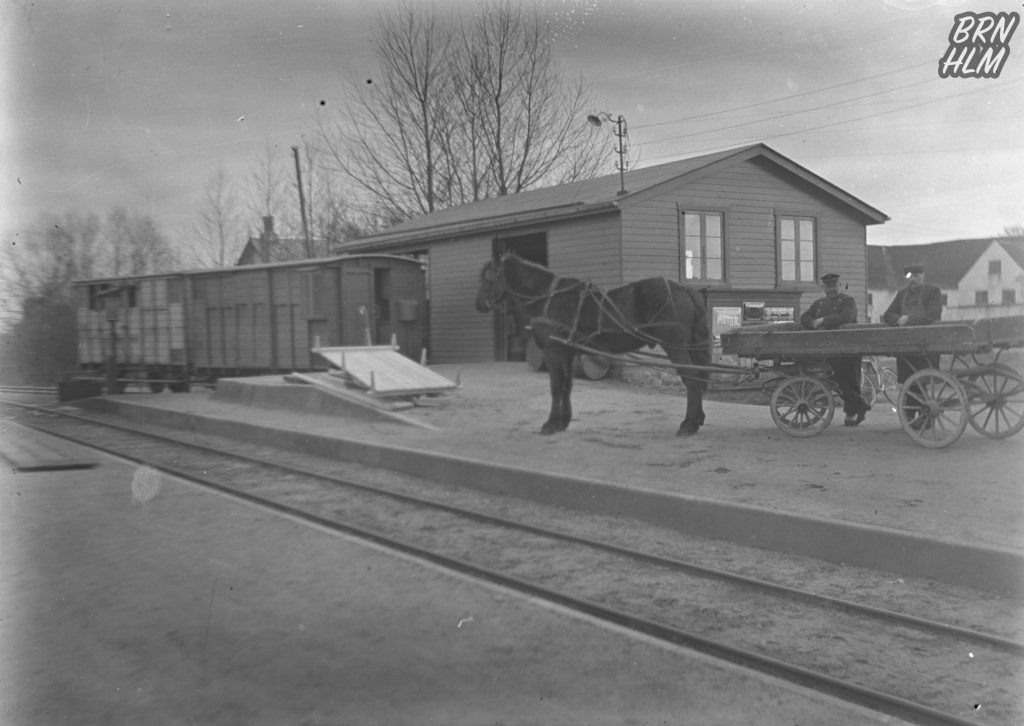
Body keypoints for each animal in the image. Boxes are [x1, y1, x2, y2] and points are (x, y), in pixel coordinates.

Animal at [475, 253, 708, 436]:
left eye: (489, 279)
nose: (479, 305)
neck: (548, 298)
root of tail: (684, 289)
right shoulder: (567, 353)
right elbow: (566, 386)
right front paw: (562, 422)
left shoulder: (553, 352)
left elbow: (555, 387)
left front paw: (550, 424)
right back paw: (696, 420)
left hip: (675, 347)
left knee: (691, 379)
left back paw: (688, 424)